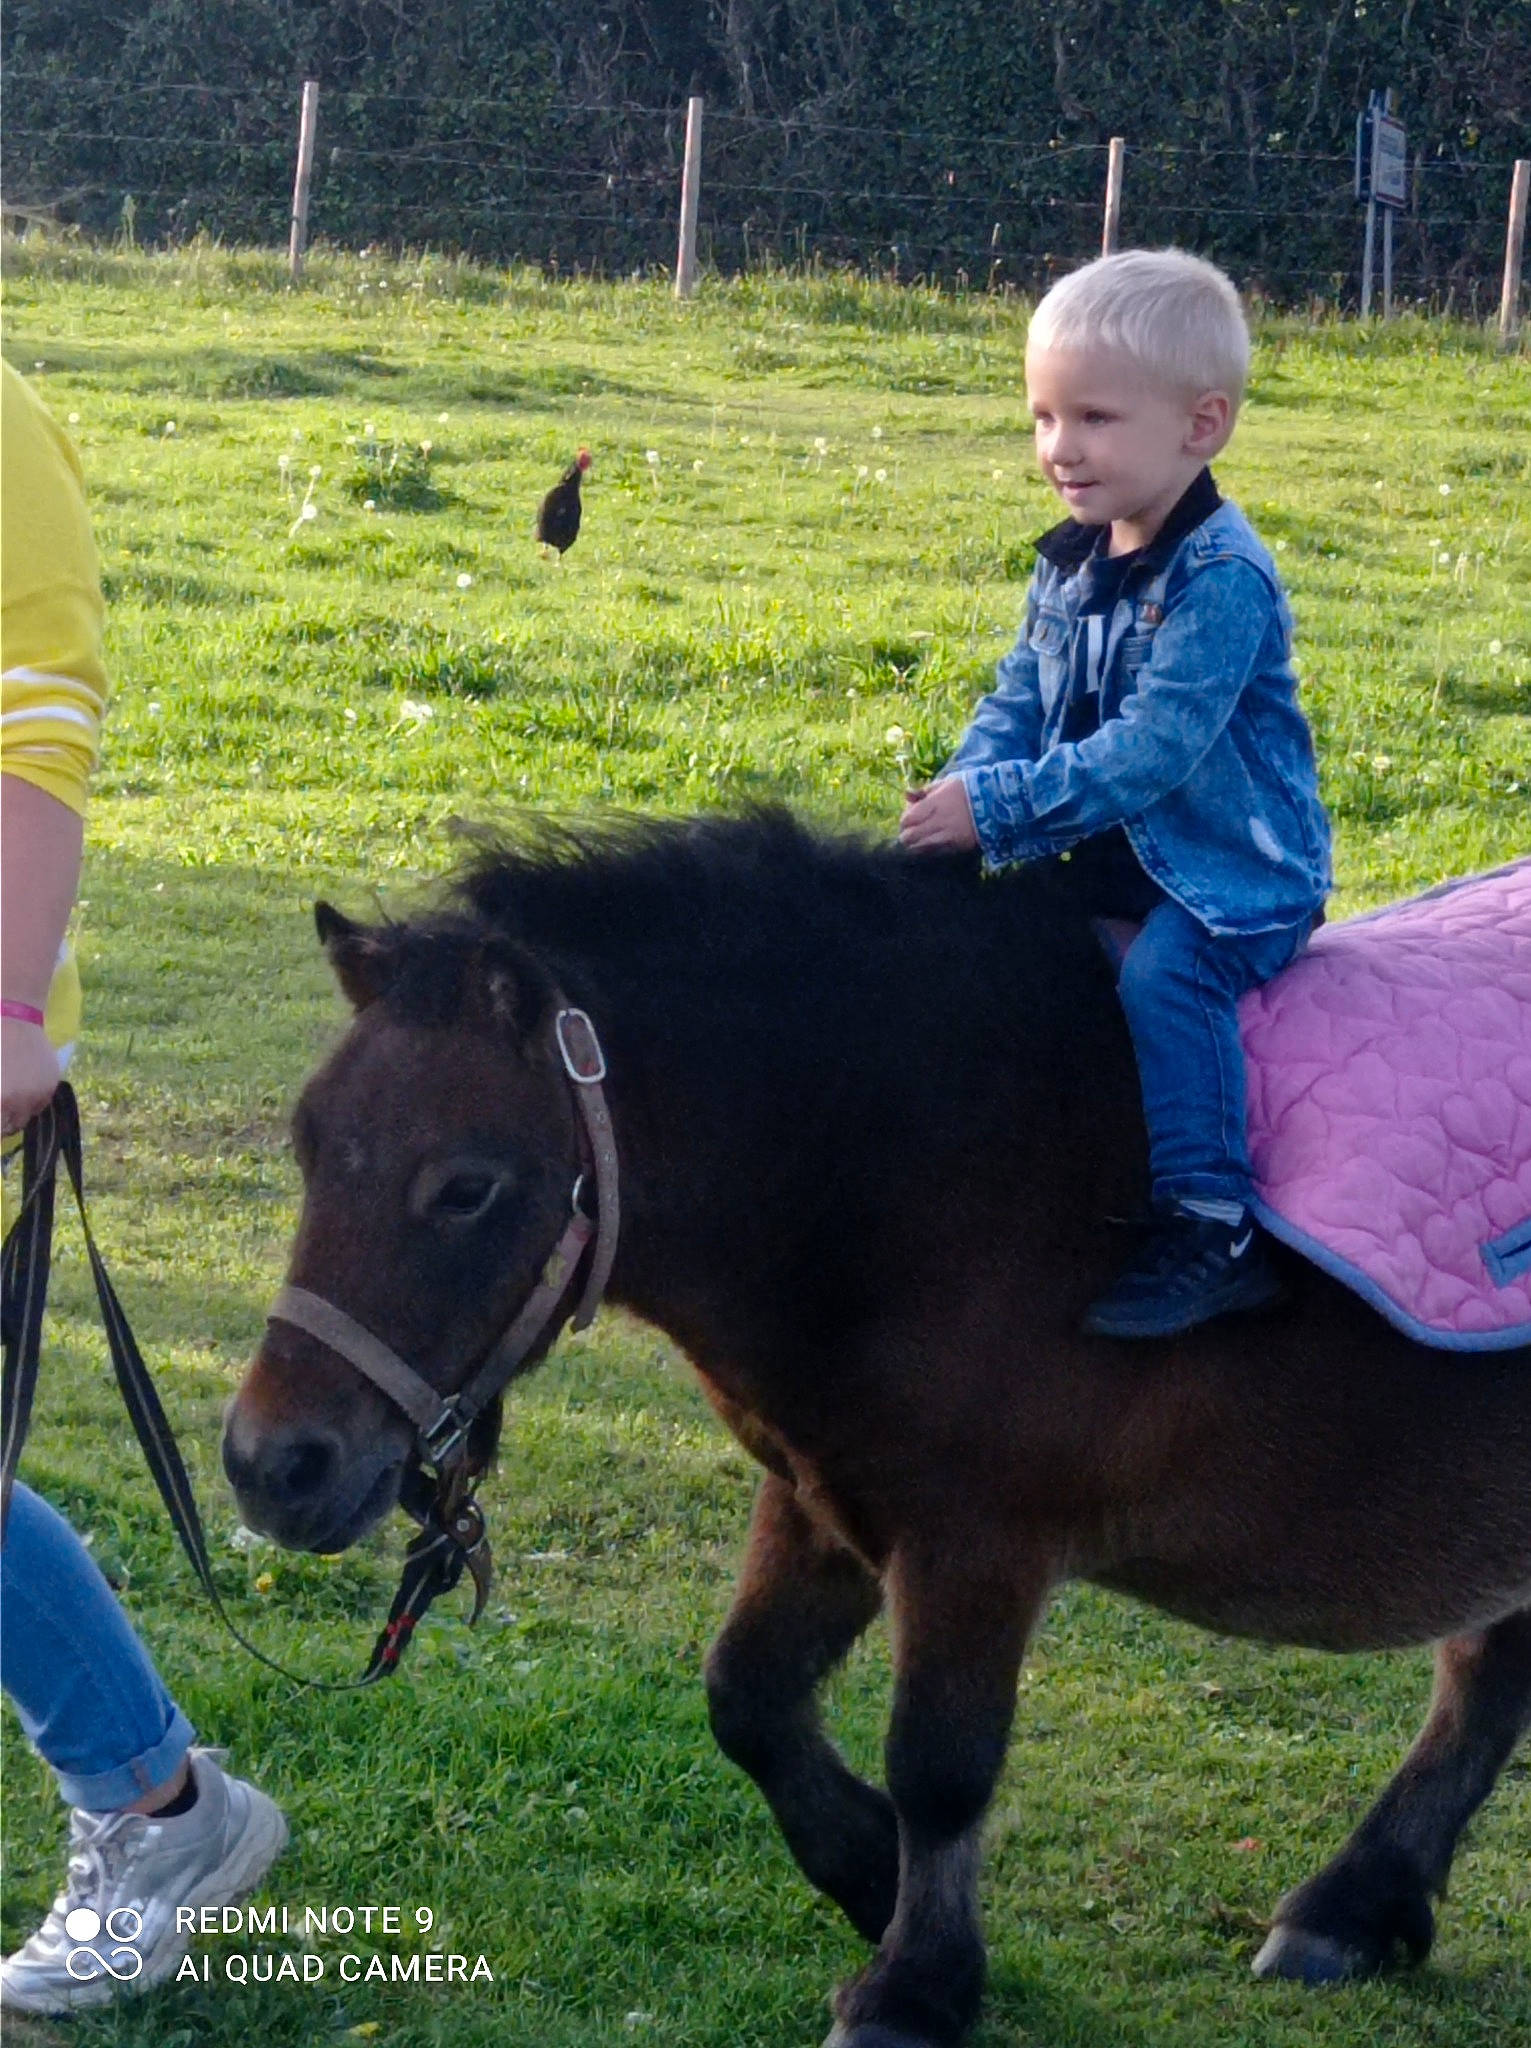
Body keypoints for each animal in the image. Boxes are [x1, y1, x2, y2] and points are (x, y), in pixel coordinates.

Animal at [222, 810, 1531, 2048]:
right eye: (305, 1142)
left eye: (466, 1187)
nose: (270, 1463)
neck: (910, 1164)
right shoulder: (821, 1492)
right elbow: (747, 1692)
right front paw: (864, 1867)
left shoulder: (976, 1544)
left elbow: (939, 1764)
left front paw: (914, 1982)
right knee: (1486, 1676)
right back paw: (1357, 1904)